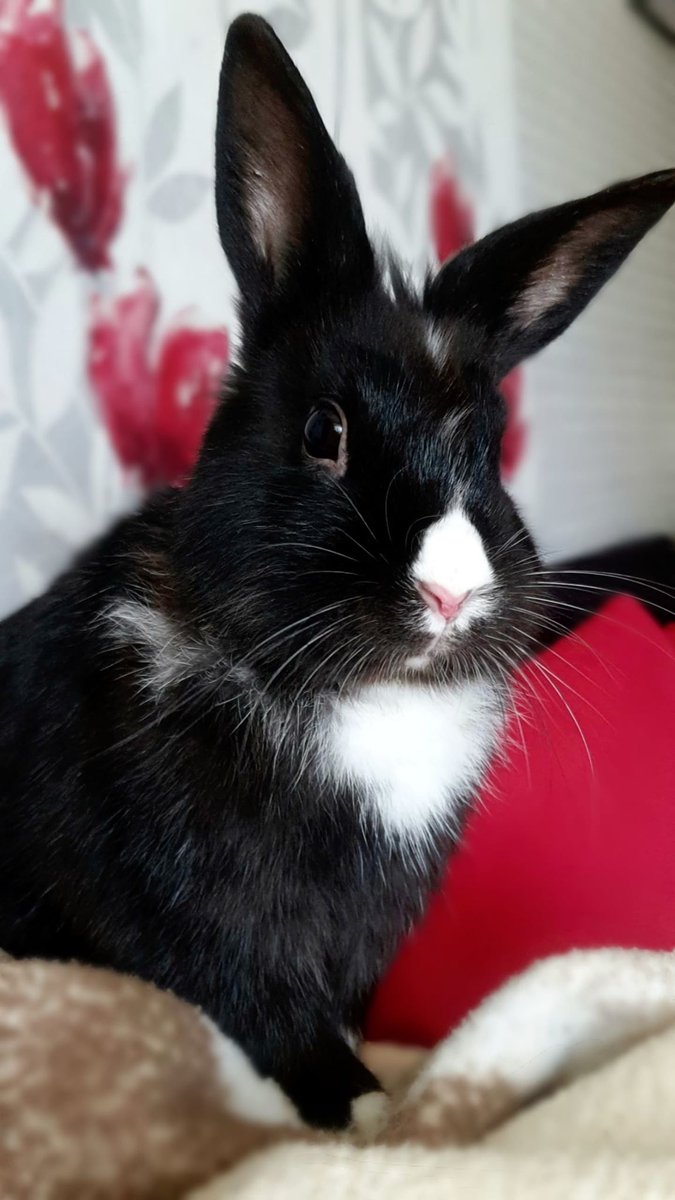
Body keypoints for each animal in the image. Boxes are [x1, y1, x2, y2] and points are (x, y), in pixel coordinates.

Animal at [0, 11, 673, 1129]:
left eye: (491, 448)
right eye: (326, 432)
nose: (450, 591)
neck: (371, 698)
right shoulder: (202, 921)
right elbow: (269, 1017)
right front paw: (363, 1112)